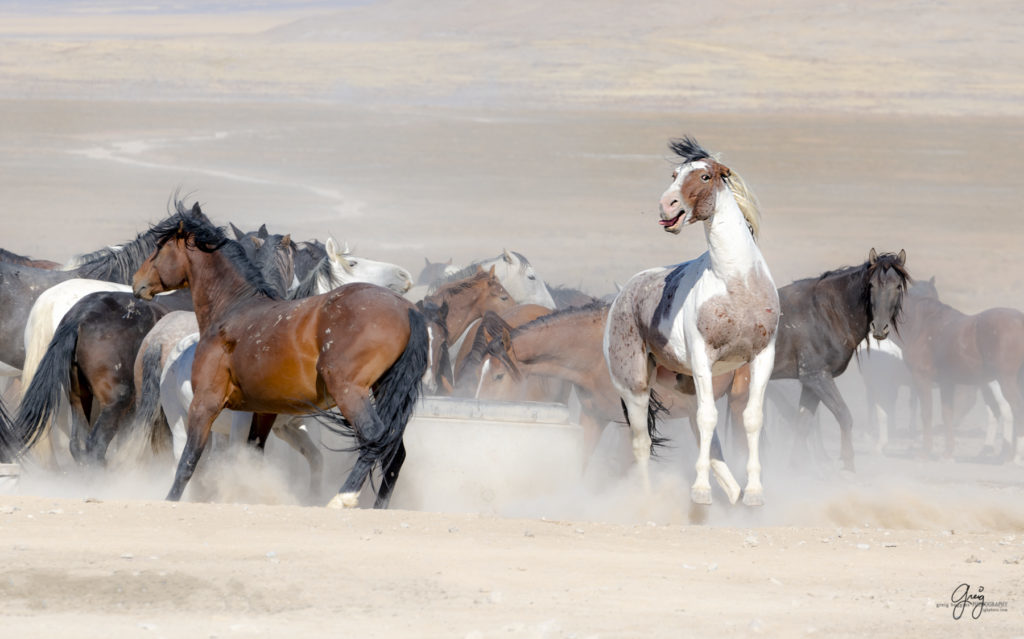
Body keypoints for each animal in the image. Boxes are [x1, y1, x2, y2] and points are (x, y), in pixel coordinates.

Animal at [131, 206, 428, 505]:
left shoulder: (206, 403)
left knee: (374, 437)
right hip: (380, 389)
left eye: (159, 248)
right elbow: (251, 460)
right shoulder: (264, 415)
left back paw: (341, 499)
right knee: (394, 452)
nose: (136, 282)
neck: (233, 310)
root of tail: (406, 308)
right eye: (353, 263)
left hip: (349, 392)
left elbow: (190, 463)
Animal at [598, 137, 774, 505]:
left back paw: (734, 493)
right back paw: (649, 499)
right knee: (643, 443)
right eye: (675, 174)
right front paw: (700, 493)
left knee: (703, 432)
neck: (736, 283)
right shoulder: (704, 357)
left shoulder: (763, 356)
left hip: (687, 382)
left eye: (706, 176)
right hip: (635, 387)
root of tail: (625, 292)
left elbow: (751, 419)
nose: (667, 205)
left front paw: (753, 493)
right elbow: (709, 420)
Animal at [897, 276, 1024, 460]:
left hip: (1005, 381)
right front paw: (947, 453)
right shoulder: (946, 382)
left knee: (1014, 409)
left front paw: (925, 451)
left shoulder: (921, 378)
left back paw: (1014, 457)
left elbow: (926, 412)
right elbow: (947, 413)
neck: (922, 324)